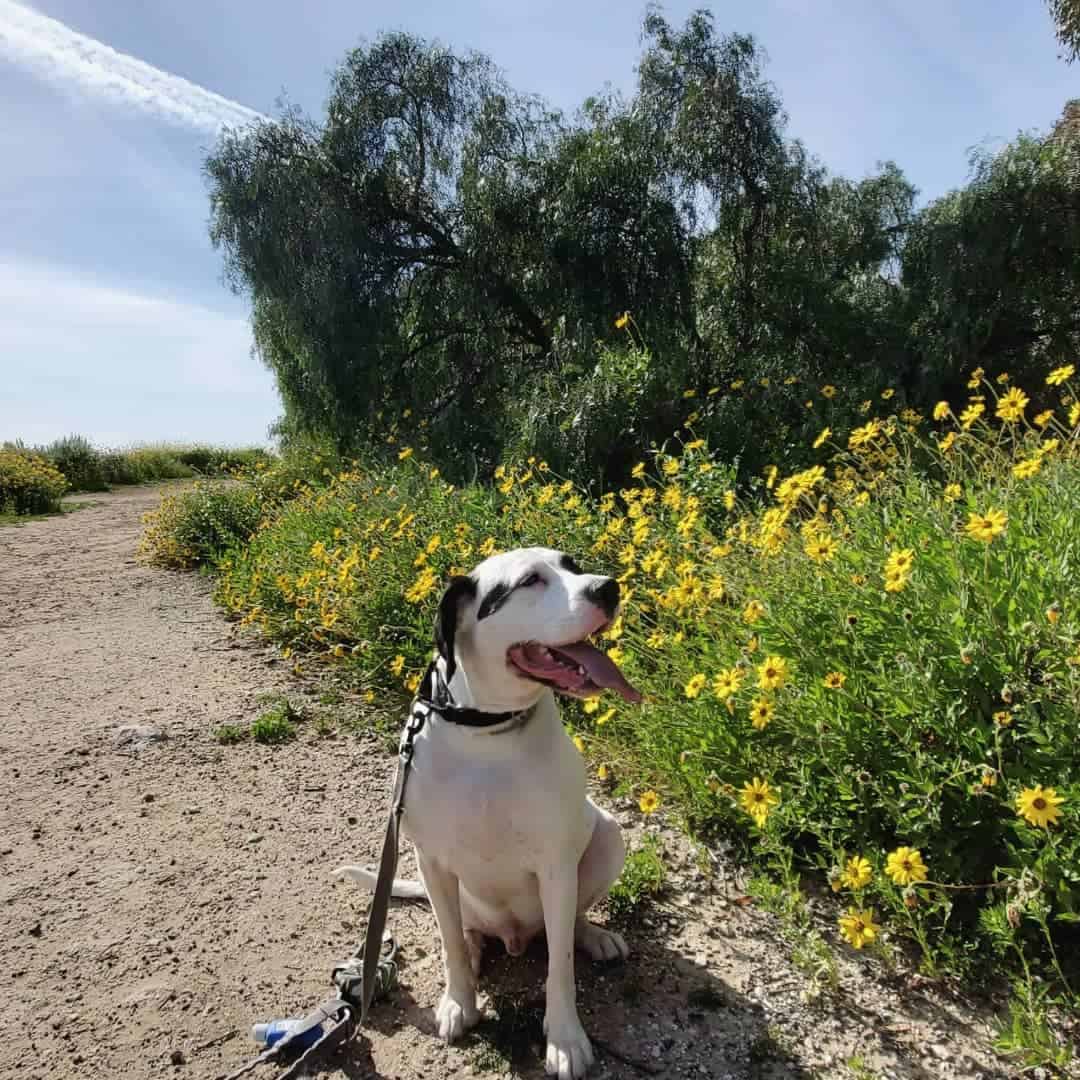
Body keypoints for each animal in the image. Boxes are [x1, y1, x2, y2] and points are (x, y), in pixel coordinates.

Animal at [336, 548, 635, 1080]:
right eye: (530, 581)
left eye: (573, 565)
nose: (608, 588)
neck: (489, 731)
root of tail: (515, 936)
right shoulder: (431, 861)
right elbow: (451, 945)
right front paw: (460, 1001)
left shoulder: (556, 867)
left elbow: (560, 967)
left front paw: (565, 1037)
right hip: (445, 886)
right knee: (461, 929)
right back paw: (475, 952)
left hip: (607, 836)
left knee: (570, 922)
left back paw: (592, 936)